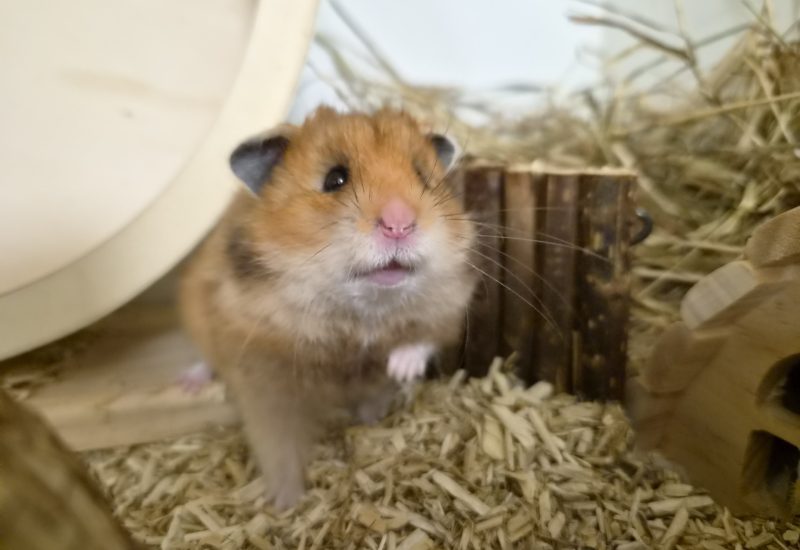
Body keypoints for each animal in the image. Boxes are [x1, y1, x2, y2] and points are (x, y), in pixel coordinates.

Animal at [179, 106, 478, 508]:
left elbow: (421, 338)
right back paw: (188, 385)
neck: (358, 311)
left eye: (422, 176)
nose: (399, 224)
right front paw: (286, 505)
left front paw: (399, 369)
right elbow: (278, 447)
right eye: (335, 179)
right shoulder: (262, 374)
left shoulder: (449, 305)